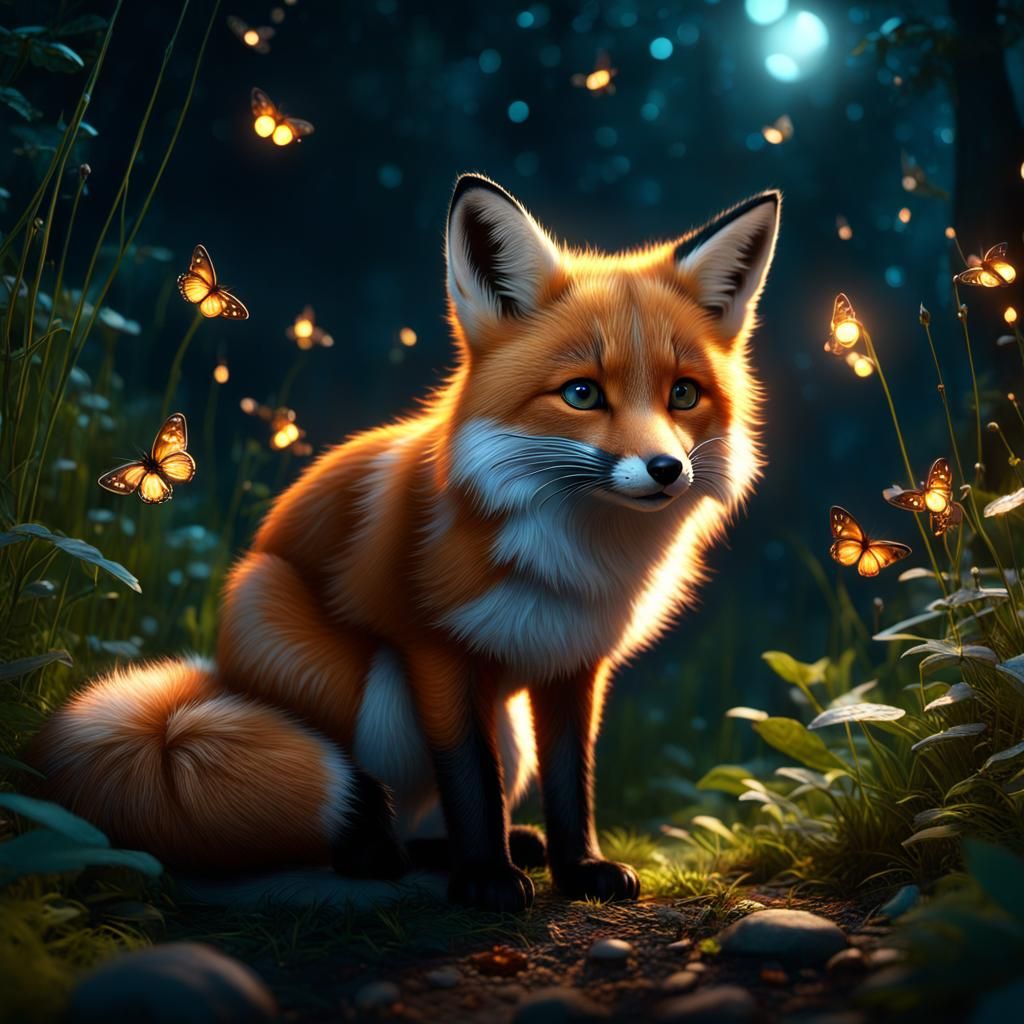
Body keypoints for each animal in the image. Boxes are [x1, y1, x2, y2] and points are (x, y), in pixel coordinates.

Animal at [29, 174, 780, 913]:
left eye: (683, 395)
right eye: (582, 394)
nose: (666, 469)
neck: (573, 558)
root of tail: (206, 691)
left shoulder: (573, 663)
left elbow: (573, 779)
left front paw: (580, 868)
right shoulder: (434, 652)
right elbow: (470, 776)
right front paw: (486, 878)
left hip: (501, 721)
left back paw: (478, 846)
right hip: (348, 675)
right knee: (346, 818)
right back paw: (388, 853)